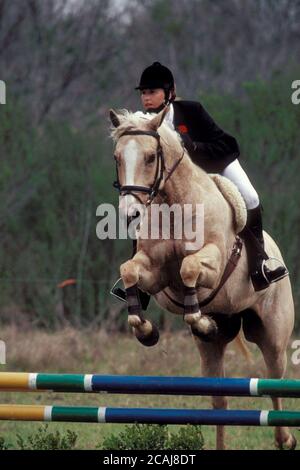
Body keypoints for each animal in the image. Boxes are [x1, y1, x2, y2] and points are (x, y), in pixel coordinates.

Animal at [109, 107, 294, 452]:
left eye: (151, 157)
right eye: (117, 157)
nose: (130, 214)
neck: (174, 205)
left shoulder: (214, 260)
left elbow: (189, 268)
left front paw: (198, 318)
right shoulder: (154, 273)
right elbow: (130, 272)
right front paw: (147, 330)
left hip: (273, 335)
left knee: (274, 381)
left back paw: (285, 438)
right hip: (211, 349)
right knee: (219, 402)